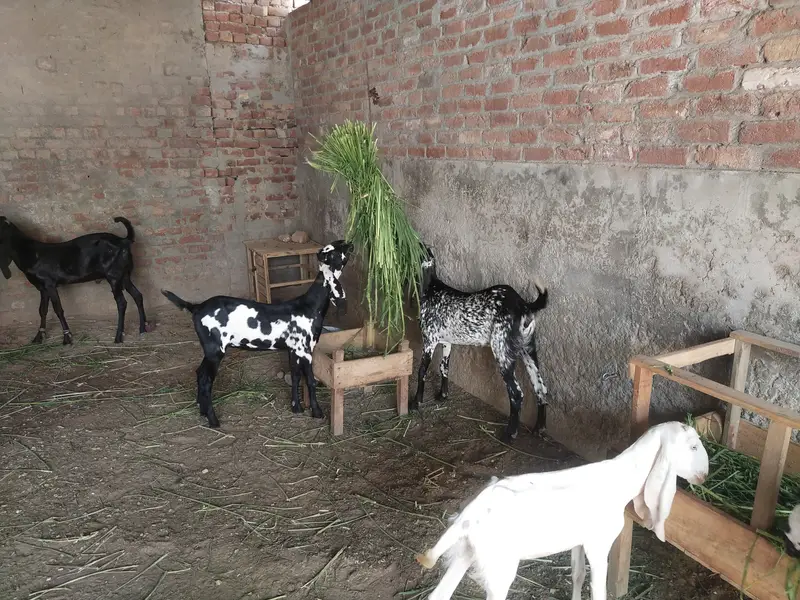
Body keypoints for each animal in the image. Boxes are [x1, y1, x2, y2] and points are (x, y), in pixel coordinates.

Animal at [0, 216, 151, 345]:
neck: (31, 253)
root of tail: (124, 241)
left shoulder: (50, 284)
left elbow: (58, 309)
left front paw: (67, 337)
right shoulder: (42, 287)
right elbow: (42, 310)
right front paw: (38, 337)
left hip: (114, 275)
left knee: (121, 302)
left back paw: (118, 336)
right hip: (124, 275)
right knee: (137, 295)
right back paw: (142, 329)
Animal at [161, 240, 353, 428]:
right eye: (336, 251)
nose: (350, 242)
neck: (309, 305)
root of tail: (196, 307)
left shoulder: (293, 349)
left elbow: (296, 376)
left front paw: (296, 408)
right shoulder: (305, 350)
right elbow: (310, 381)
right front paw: (317, 412)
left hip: (209, 350)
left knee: (199, 373)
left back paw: (202, 411)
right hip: (215, 350)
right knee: (205, 379)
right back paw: (213, 420)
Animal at [411, 245, 548, 440]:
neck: (432, 287)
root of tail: (524, 305)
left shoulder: (429, 340)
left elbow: (421, 371)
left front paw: (416, 402)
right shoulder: (446, 342)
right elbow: (444, 367)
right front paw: (443, 395)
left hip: (502, 351)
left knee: (517, 393)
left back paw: (510, 434)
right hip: (528, 350)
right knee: (541, 389)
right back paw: (539, 429)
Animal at [416, 421, 709, 600]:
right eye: (693, 447)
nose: (704, 476)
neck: (621, 478)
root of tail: (468, 517)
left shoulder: (578, 541)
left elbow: (578, 575)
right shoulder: (598, 544)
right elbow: (598, 588)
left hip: (466, 553)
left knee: (439, 594)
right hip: (499, 567)